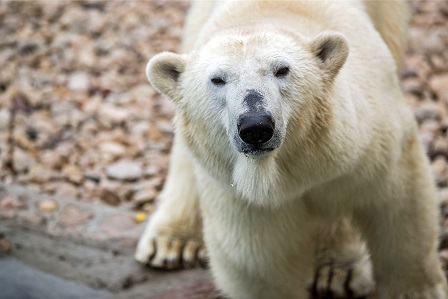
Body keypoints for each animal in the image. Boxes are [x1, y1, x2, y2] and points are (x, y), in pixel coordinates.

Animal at [136, 1, 448, 298]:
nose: (256, 126)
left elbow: (401, 212)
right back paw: (170, 242)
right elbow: (261, 261)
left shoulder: (366, 143)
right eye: (218, 79)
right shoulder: (244, 196)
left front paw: (418, 291)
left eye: (282, 70)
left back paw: (337, 270)